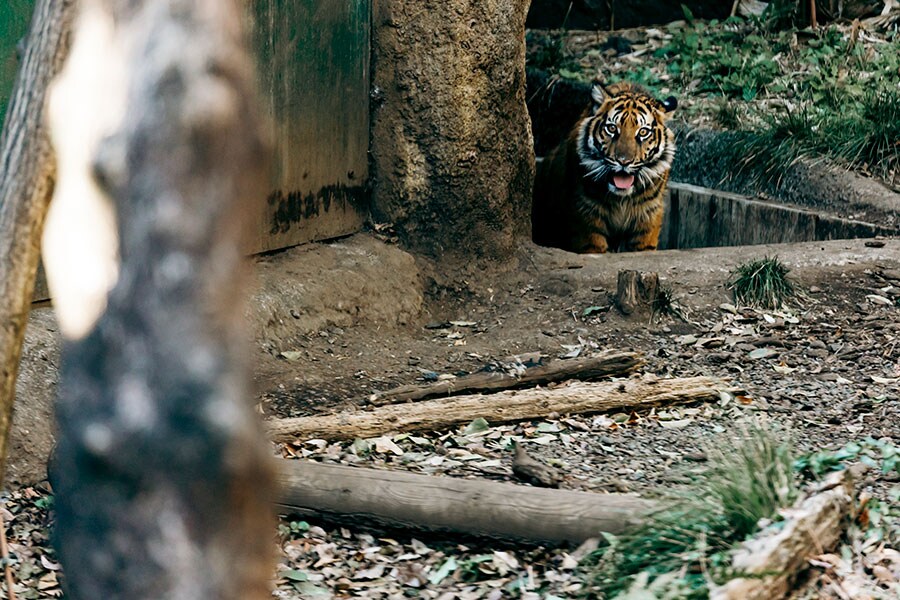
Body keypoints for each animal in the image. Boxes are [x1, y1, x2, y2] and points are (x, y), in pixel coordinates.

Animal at [536, 80, 676, 253]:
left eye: (643, 132)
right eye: (612, 128)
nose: (624, 162)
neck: (622, 199)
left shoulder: (648, 216)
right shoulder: (586, 215)